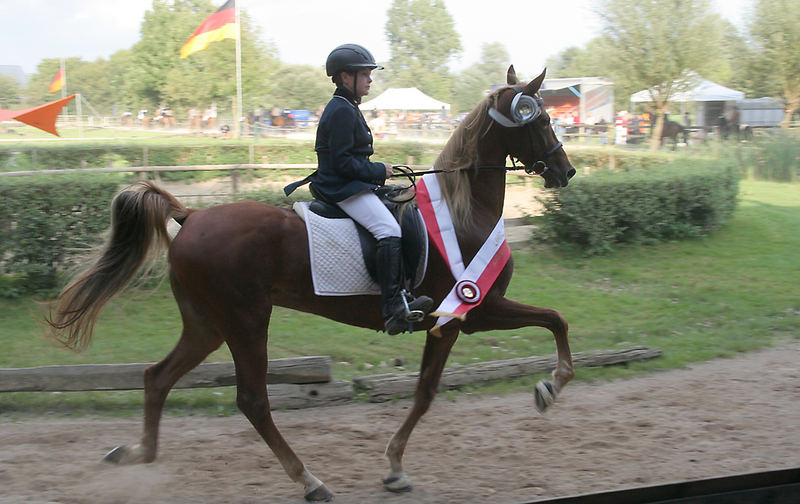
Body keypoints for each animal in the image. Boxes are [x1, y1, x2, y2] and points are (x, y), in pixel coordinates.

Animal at [47, 66, 576, 500]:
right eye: (541, 121)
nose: (566, 171)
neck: (464, 214)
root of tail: (191, 215)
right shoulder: (469, 312)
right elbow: (550, 323)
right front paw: (550, 387)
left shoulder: (458, 319)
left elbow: (435, 386)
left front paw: (394, 468)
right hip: (245, 321)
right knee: (252, 401)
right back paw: (309, 480)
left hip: (206, 323)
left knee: (157, 377)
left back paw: (137, 454)